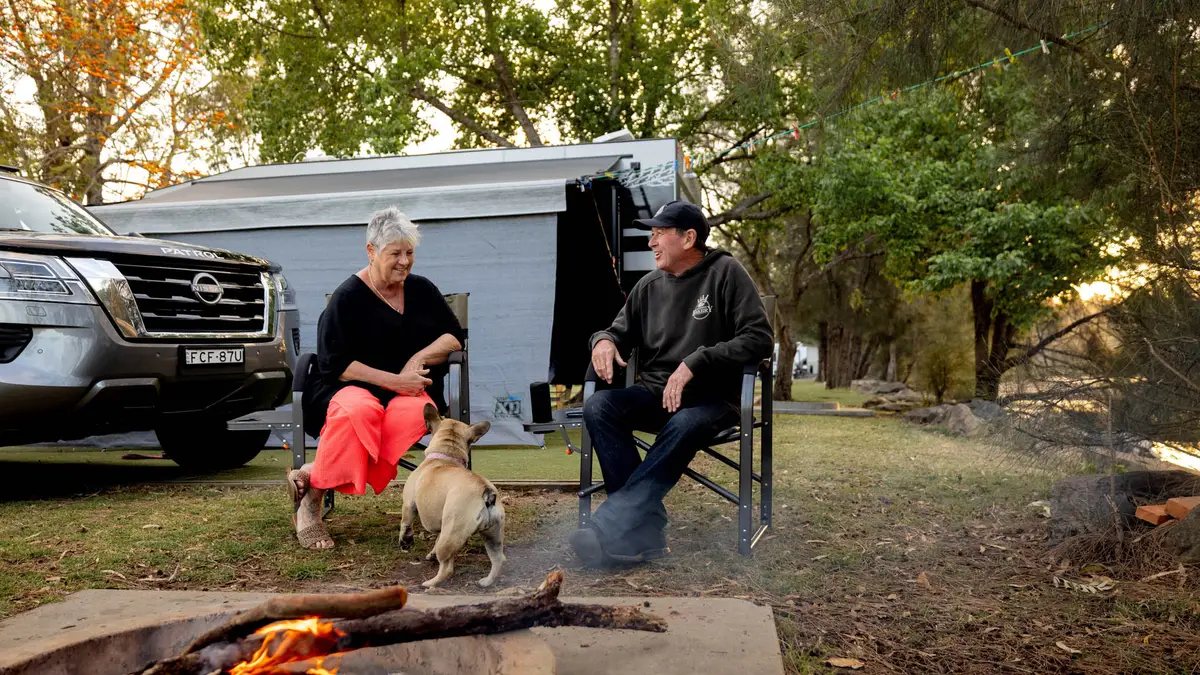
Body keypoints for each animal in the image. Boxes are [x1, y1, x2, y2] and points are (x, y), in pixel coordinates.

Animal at [400, 403, 505, 588]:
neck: (447, 454)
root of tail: (487, 493)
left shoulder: (409, 504)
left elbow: (405, 523)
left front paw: (405, 540)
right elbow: (436, 538)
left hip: (452, 533)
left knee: (447, 568)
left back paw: (430, 583)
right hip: (493, 536)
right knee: (498, 560)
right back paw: (486, 582)